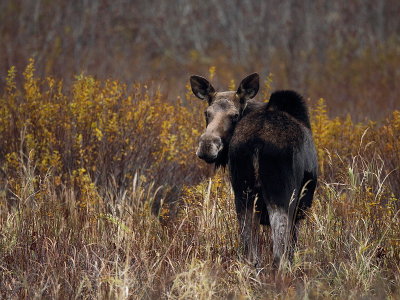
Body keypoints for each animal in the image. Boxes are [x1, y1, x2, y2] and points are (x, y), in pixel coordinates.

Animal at [191, 73, 318, 268]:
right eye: (207, 113)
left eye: (235, 115)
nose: (206, 145)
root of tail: (257, 142)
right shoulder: (300, 208)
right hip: (281, 195)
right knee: (279, 254)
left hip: (244, 194)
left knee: (250, 254)